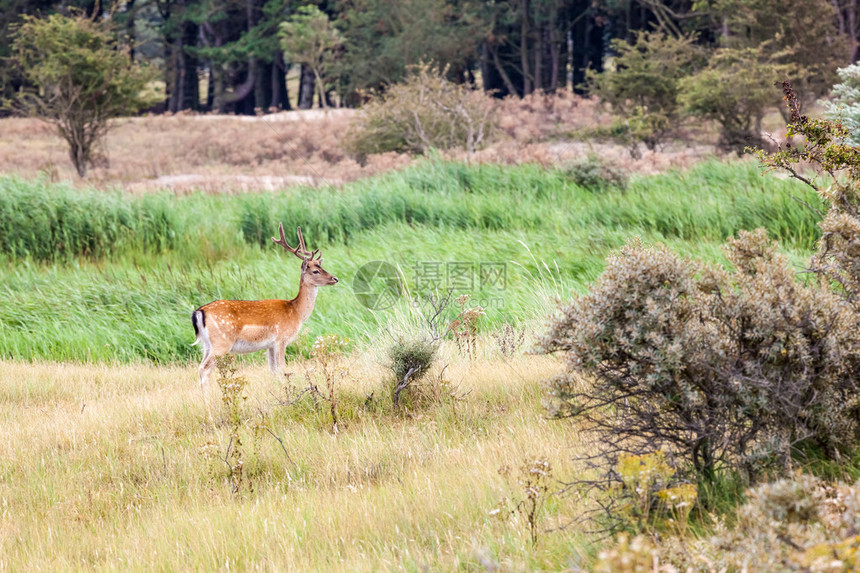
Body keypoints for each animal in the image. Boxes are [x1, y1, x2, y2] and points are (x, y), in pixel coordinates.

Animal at [190, 221, 338, 386]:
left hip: (206, 344)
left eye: (322, 266)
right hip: (221, 342)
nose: (335, 278)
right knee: (204, 369)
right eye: (315, 271)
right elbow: (282, 368)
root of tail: (198, 312)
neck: (296, 312)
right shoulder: (281, 339)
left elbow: (273, 371)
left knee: (201, 367)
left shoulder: (270, 345)